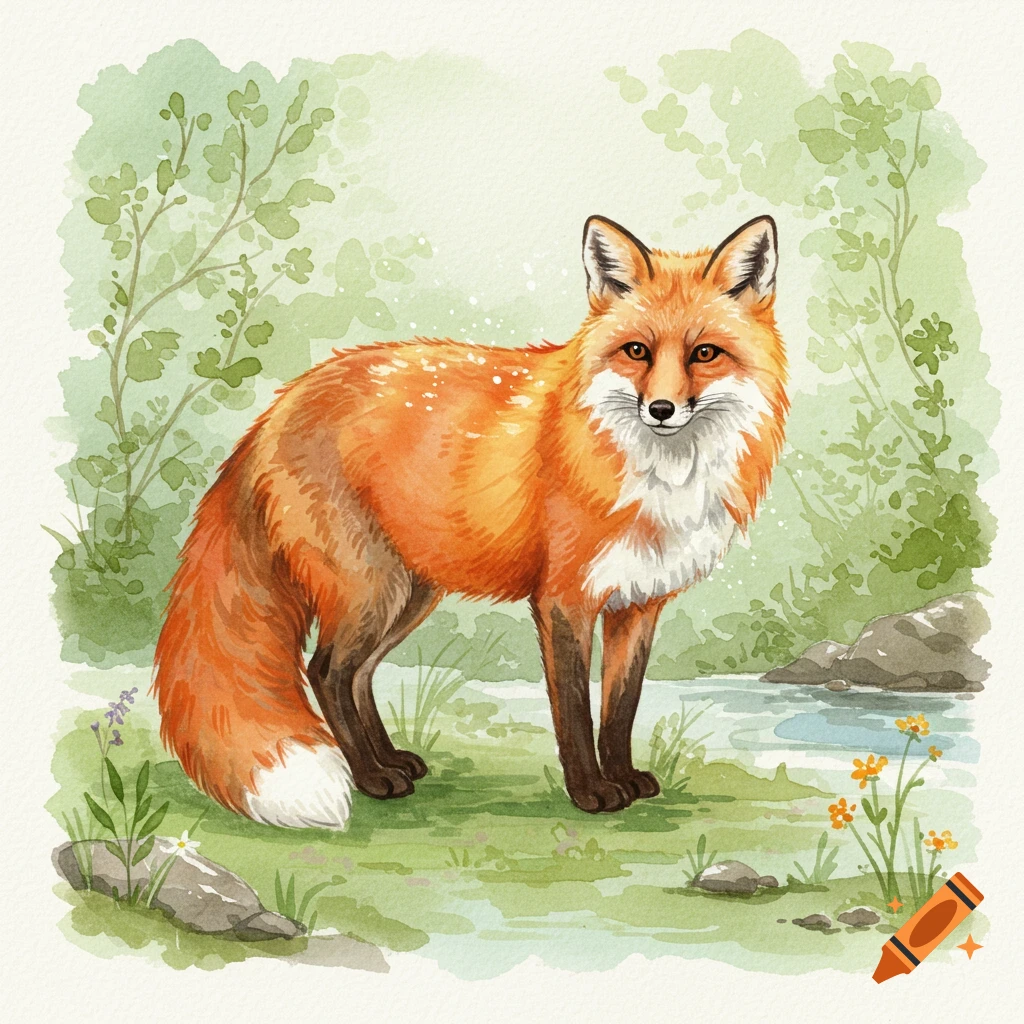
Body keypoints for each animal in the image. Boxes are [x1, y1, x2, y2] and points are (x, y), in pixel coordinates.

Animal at [153, 214, 788, 829]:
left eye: (704, 353)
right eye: (637, 351)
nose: (660, 409)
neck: (657, 475)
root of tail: (276, 408)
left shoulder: (638, 603)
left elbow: (620, 709)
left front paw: (625, 778)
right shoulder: (563, 599)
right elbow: (575, 713)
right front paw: (590, 793)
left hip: (409, 594)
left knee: (358, 675)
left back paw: (391, 761)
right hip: (371, 589)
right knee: (326, 672)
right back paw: (372, 779)